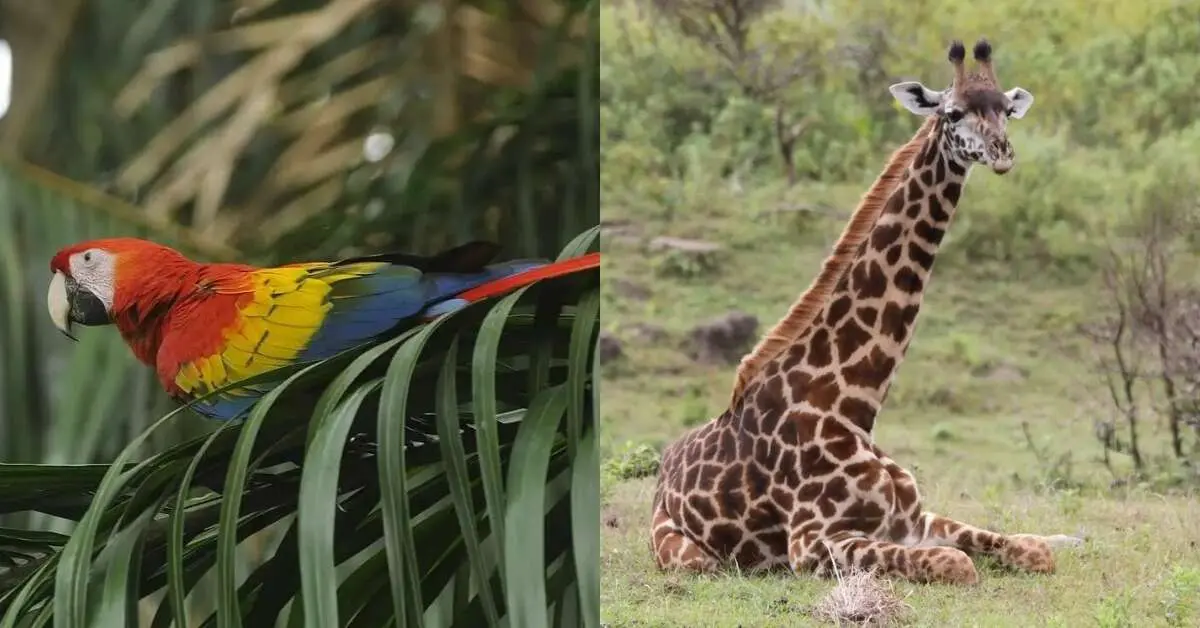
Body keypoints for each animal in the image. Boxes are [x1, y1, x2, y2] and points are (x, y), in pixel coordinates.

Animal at [650, 39, 1071, 585]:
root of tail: (662, 471)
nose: (1001, 153)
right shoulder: (810, 543)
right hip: (690, 558)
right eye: (953, 112)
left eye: (1005, 109)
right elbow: (955, 563)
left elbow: (1032, 550)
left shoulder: (915, 519)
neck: (852, 403)